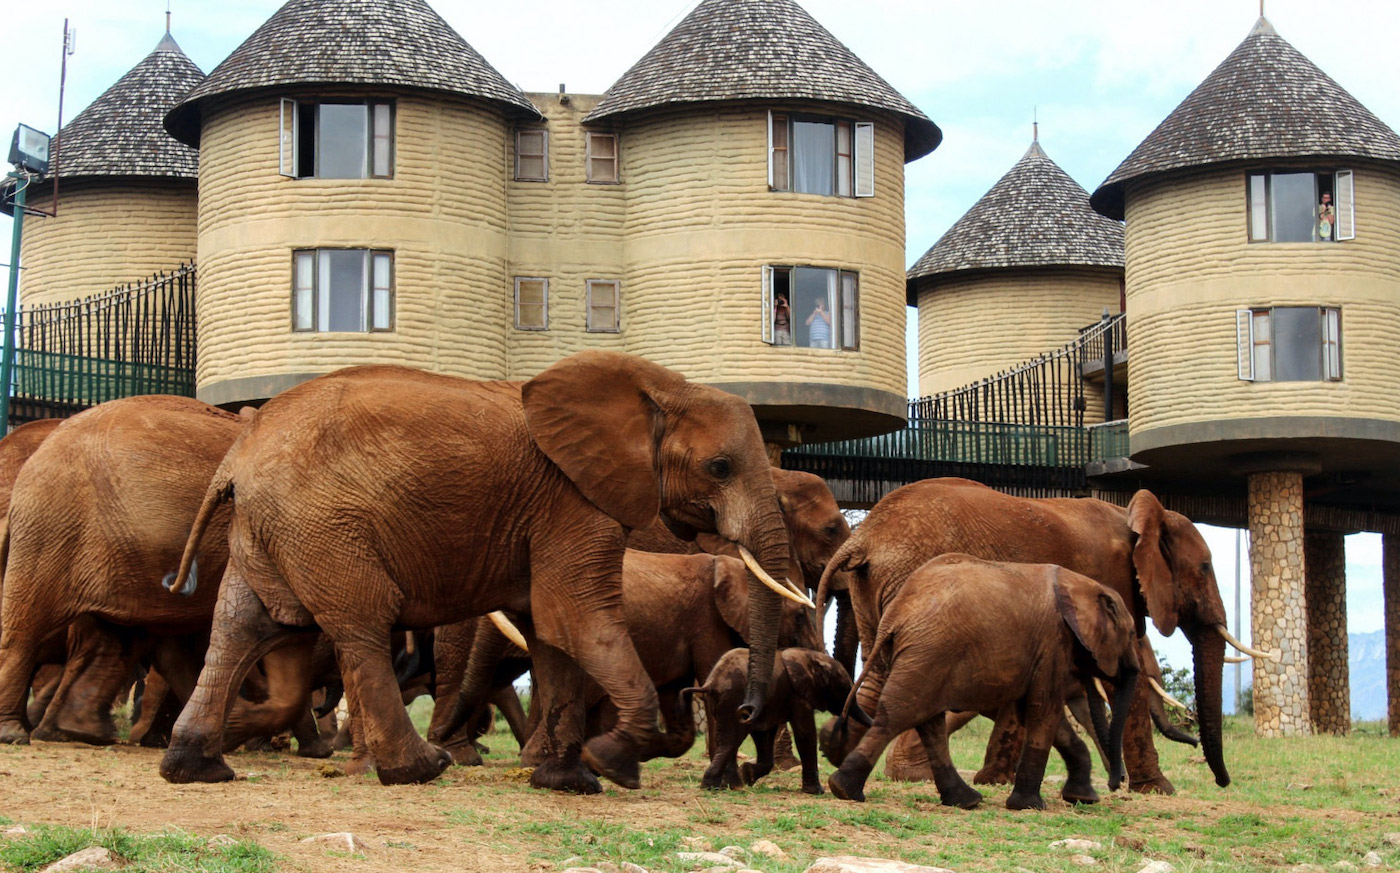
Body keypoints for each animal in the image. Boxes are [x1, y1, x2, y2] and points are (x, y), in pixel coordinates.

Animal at [157, 351, 795, 794]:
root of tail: (236, 456)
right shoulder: (572, 499)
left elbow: (550, 630)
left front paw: (566, 781)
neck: (662, 386)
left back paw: (196, 768)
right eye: (720, 467)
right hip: (323, 525)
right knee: (361, 625)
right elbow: (577, 618)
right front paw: (611, 764)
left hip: (271, 527)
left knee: (242, 626)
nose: (745, 709)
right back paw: (420, 769)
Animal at [686, 643, 868, 794]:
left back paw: (729, 785)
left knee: (725, 738)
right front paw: (817, 792)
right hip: (732, 699)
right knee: (730, 740)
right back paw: (714, 787)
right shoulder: (797, 696)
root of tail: (710, 683)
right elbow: (805, 734)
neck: (810, 657)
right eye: (843, 689)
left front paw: (748, 774)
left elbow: (764, 735)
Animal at [823, 556, 1142, 805]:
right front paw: (1029, 806)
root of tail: (894, 615)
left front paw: (1083, 798)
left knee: (927, 722)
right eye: (1129, 635)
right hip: (929, 652)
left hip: (923, 656)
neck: (1081, 584)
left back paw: (965, 801)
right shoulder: (1054, 641)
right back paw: (845, 790)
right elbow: (1044, 710)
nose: (1115, 785)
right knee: (900, 716)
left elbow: (1039, 713)